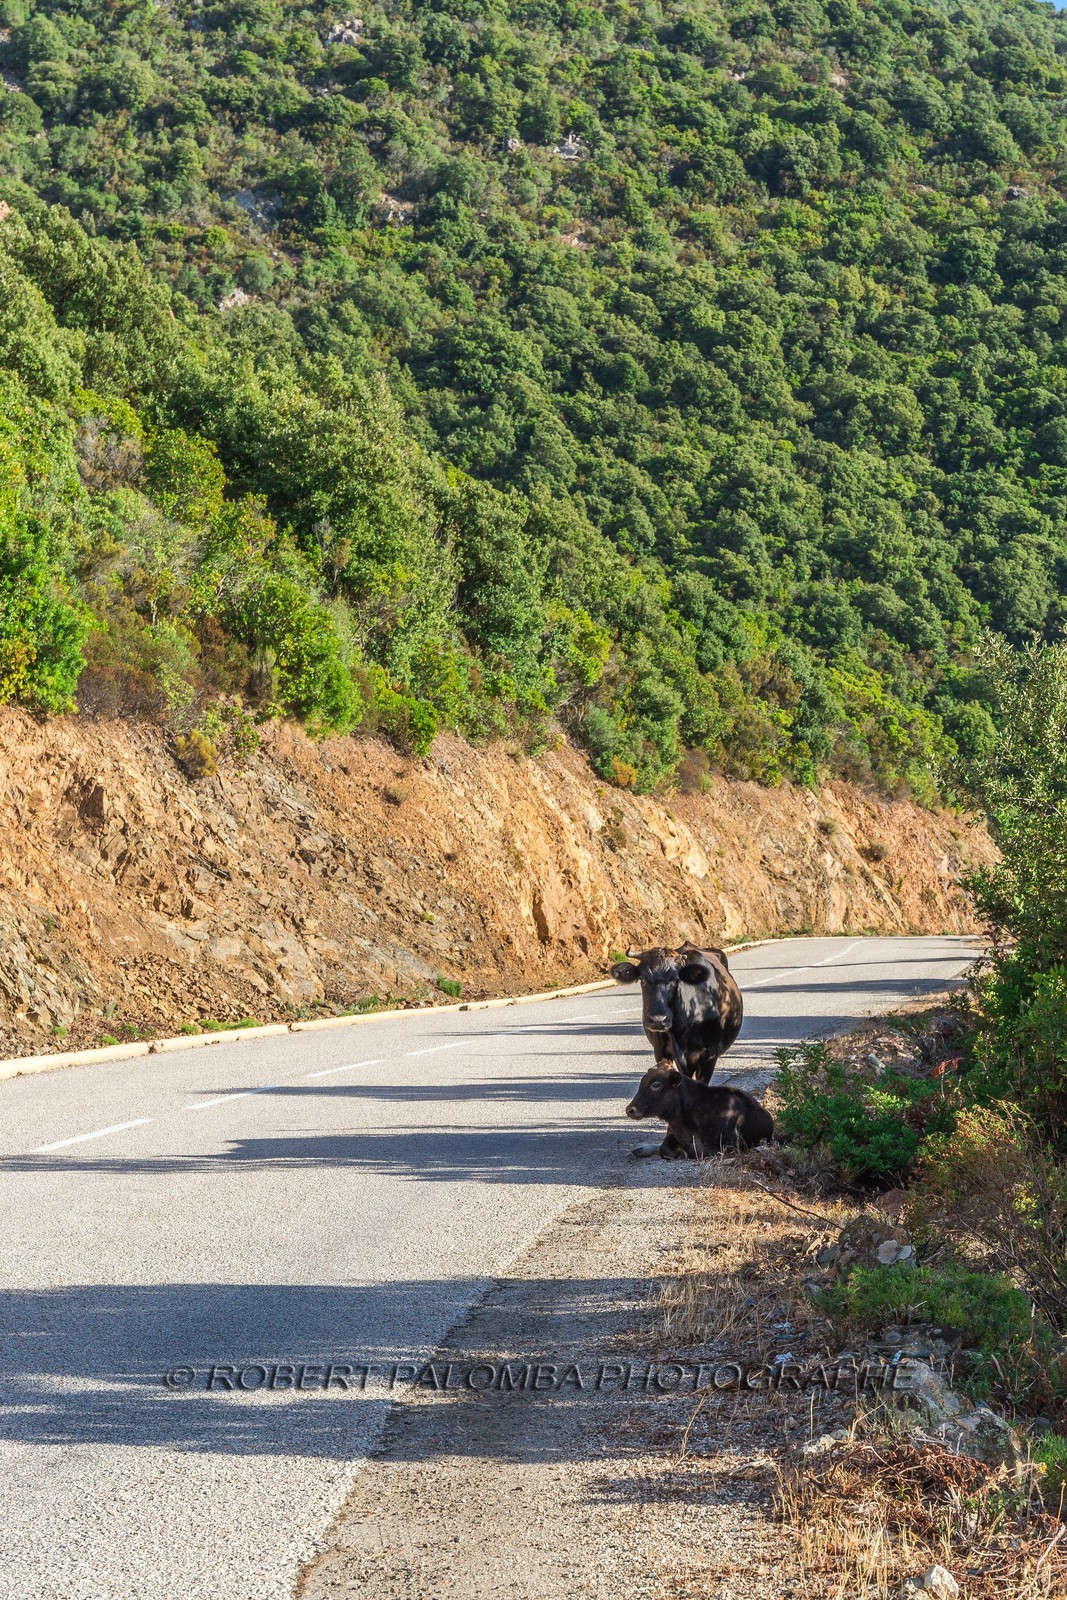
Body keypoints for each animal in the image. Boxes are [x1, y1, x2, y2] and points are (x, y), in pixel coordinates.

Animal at [625, 1064, 774, 1158]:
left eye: (656, 1085)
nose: (630, 1110)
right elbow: (664, 1149)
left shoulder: (731, 1144)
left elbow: (697, 1151)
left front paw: (683, 1152)